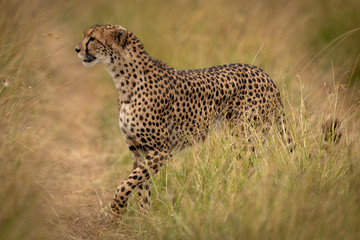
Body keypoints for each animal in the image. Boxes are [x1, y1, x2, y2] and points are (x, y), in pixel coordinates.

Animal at [76, 23, 292, 216]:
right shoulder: (138, 149)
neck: (123, 80)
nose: (77, 49)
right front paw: (145, 218)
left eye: (92, 38)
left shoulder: (161, 150)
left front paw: (117, 209)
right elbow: (141, 186)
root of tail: (265, 74)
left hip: (245, 138)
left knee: (251, 167)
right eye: (86, 36)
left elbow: (128, 182)